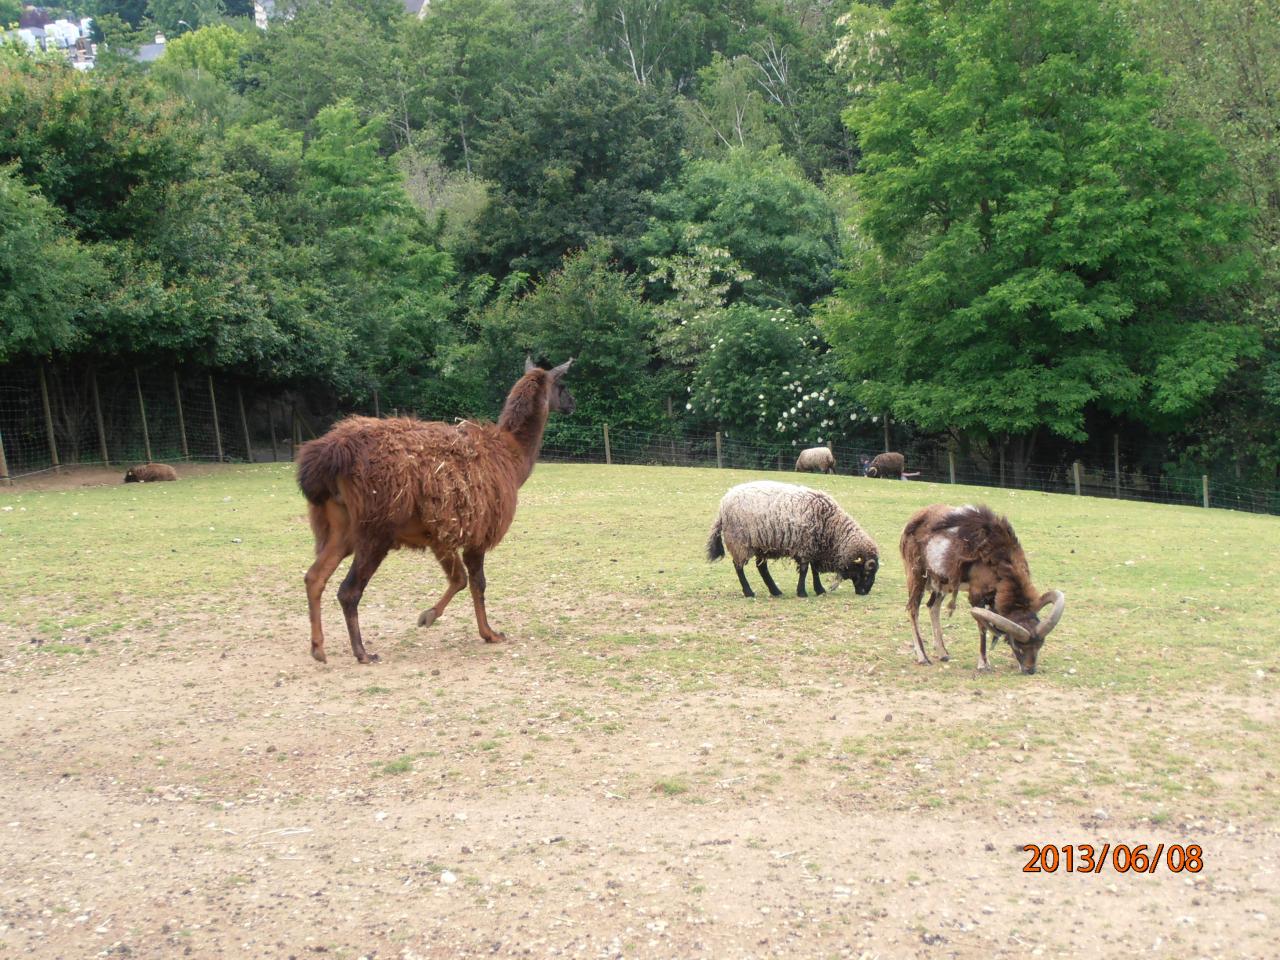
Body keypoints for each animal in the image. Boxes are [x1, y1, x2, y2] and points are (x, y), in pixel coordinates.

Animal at [294, 358, 576, 665]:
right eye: (562, 385)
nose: (573, 403)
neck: (513, 458)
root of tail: (330, 454)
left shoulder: (441, 533)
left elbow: (459, 579)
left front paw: (427, 616)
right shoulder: (477, 531)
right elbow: (477, 582)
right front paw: (489, 633)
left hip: (339, 526)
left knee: (314, 577)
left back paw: (318, 648)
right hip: (376, 527)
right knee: (348, 591)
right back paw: (362, 652)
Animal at [706, 483, 875, 599]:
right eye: (867, 571)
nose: (865, 592)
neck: (831, 526)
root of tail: (722, 506)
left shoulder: (814, 548)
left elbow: (813, 570)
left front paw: (819, 590)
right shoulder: (806, 546)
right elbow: (805, 570)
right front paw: (802, 592)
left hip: (761, 543)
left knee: (761, 568)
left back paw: (775, 591)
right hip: (739, 542)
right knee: (739, 567)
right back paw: (749, 592)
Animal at [901, 504, 1070, 675]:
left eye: (1040, 644)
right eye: (1017, 644)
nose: (1030, 670)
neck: (1001, 561)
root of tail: (913, 521)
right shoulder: (977, 595)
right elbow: (983, 627)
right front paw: (983, 664)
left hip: (943, 583)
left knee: (933, 607)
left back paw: (943, 654)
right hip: (917, 576)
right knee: (913, 609)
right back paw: (923, 657)